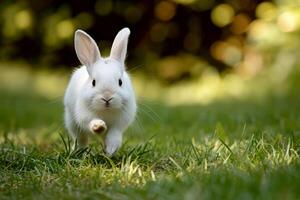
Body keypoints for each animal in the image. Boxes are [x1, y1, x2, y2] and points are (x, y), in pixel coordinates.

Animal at [65, 27, 138, 156]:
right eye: (93, 82)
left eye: (120, 82)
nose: (107, 97)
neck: (106, 111)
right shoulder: (84, 115)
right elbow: (91, 121)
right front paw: (98, 127)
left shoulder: (119, 124)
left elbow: (114, 136)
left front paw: (111, 151)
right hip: (72, 123)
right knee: (81, 139)